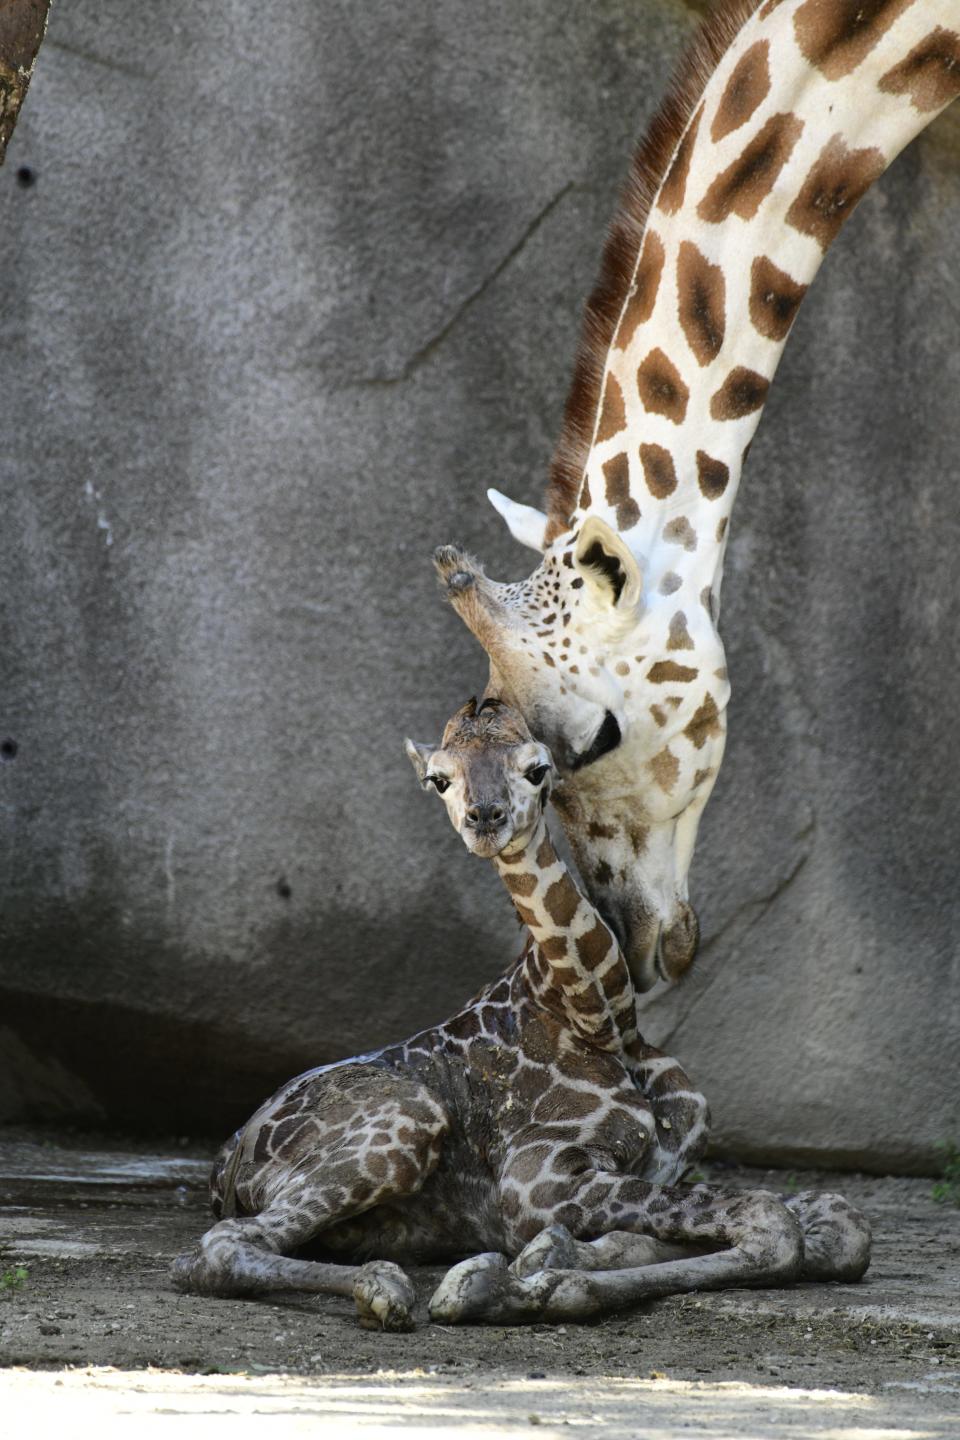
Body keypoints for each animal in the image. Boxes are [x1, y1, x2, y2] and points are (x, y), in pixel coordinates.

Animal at [172, 696, 869, 1324]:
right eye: (438, 778)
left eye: (537, 769)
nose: (486, 816)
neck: (599, 1017)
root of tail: (224, 1164)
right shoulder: (537, 1184)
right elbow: (771, 1223)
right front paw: (508, 1279)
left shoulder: (666, 1167)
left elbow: (840, 1225)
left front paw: (549, 1262)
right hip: (406, 1122)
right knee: (217, 1247)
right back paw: (387, 1290)